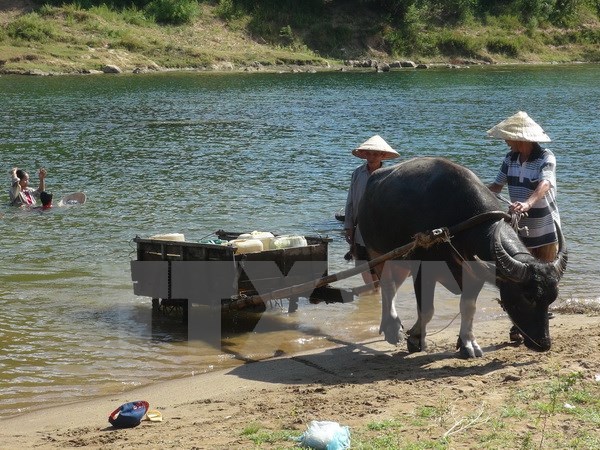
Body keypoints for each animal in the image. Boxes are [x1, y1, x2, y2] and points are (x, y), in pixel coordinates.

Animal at [356, 156, 568, 356]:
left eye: (552, 298)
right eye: (528, 296)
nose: (543, 344)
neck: (461, 224)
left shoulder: (475, 273)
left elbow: (468, 307)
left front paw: (467, 344)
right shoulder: (423, 270)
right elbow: (427, 310)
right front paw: (416, 339)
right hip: (377, 253)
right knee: (387, 287)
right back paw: (392, 329)